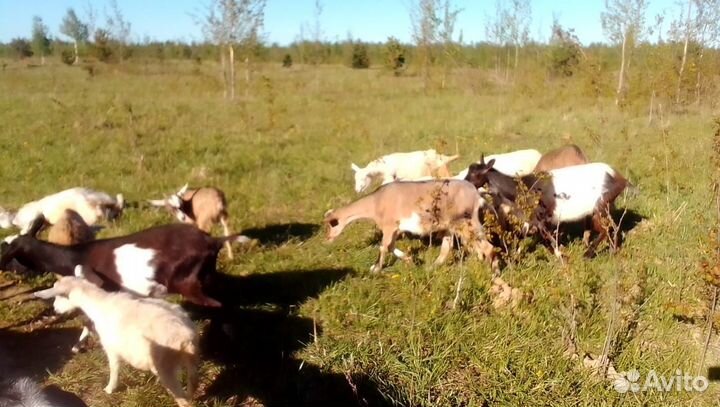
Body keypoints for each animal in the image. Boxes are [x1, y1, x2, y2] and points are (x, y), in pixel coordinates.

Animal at [0, 221, 250, 307]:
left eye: (8, 249)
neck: (79, 256)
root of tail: (213, 241)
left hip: (187, 284)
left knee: (216, 304)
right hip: (208, 277)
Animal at [35, 267, 198, 407]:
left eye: (60, 296)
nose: (55, 310)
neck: (99, 303)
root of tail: (186, 336)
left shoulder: (111, 347)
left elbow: (114, 369)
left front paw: (109, 388)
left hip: (164, 366)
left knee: (183, 400)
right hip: (190, 360)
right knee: (193, 382)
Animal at [324, 179, 496, 272]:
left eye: (331, 226)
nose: (327, 240)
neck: (376, 202)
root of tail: (476, 195)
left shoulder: (389, 226)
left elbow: (383, 247)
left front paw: (375, 269)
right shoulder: (395, 229)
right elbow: (390, 246)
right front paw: (410, 260)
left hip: (465, 223)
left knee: (487, 248)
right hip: (452, 226)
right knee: (449, 248)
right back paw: (431, 268)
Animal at [465, 157, 627, 258]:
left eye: (475, 174)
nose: (464, 183)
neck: (523, 188)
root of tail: (619, 178)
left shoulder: (541, 219)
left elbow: (548, 239)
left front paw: (561, 257)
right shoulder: (531, 221)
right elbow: (528, 237)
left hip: (601, 207)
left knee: (608, 229)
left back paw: (589, 254)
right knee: (612, 228)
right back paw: (613, 251)